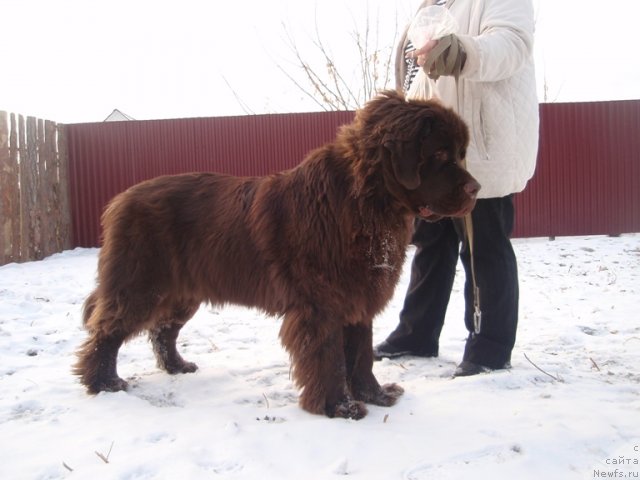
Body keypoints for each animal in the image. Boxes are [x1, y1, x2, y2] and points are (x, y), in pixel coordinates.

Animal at [72, 91, 478, 420]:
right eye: (440, 153)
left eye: (460, 154)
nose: (476, 188)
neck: (365, 203)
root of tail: (121, 199)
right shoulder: (322, 306)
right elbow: (330, 358)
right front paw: (339, 408)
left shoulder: (358, 299)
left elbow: (360, 354)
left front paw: (376, 395)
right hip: (139, 285)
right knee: (107, 331)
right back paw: (103, 383)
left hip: (181, 292)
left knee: (162, 330)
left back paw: (176, 366)